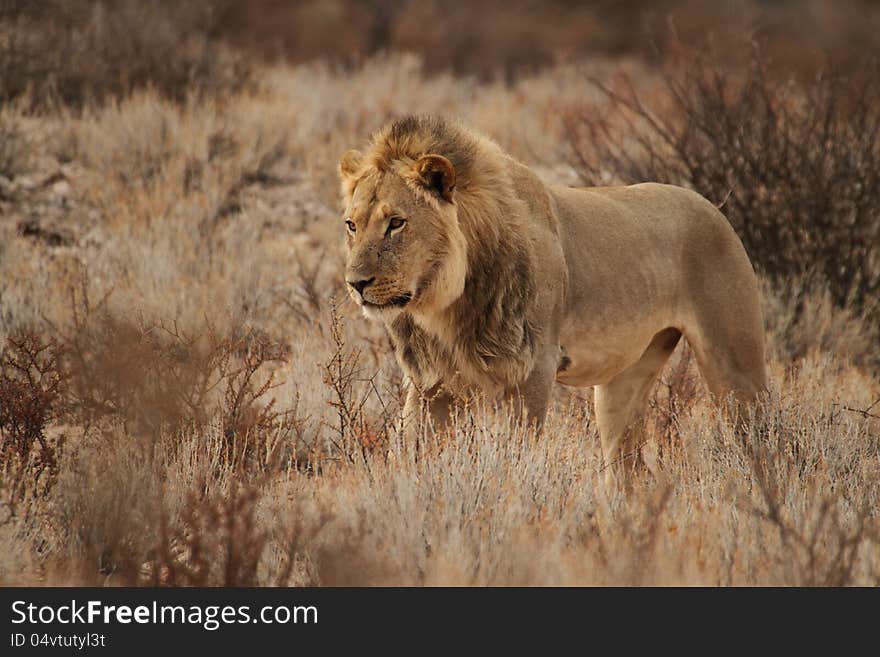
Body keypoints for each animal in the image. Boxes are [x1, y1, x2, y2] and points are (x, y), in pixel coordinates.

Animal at [340, 116, 768, 486]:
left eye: (396, 223)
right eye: (351, 225)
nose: (356, 283)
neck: (445, 303)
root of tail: (712, 206)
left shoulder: (534, 370)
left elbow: (516, 458)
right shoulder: (431, 382)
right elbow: (407, 454)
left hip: (734, 367)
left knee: (761, 445)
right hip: (623, 383)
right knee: (629, 473)